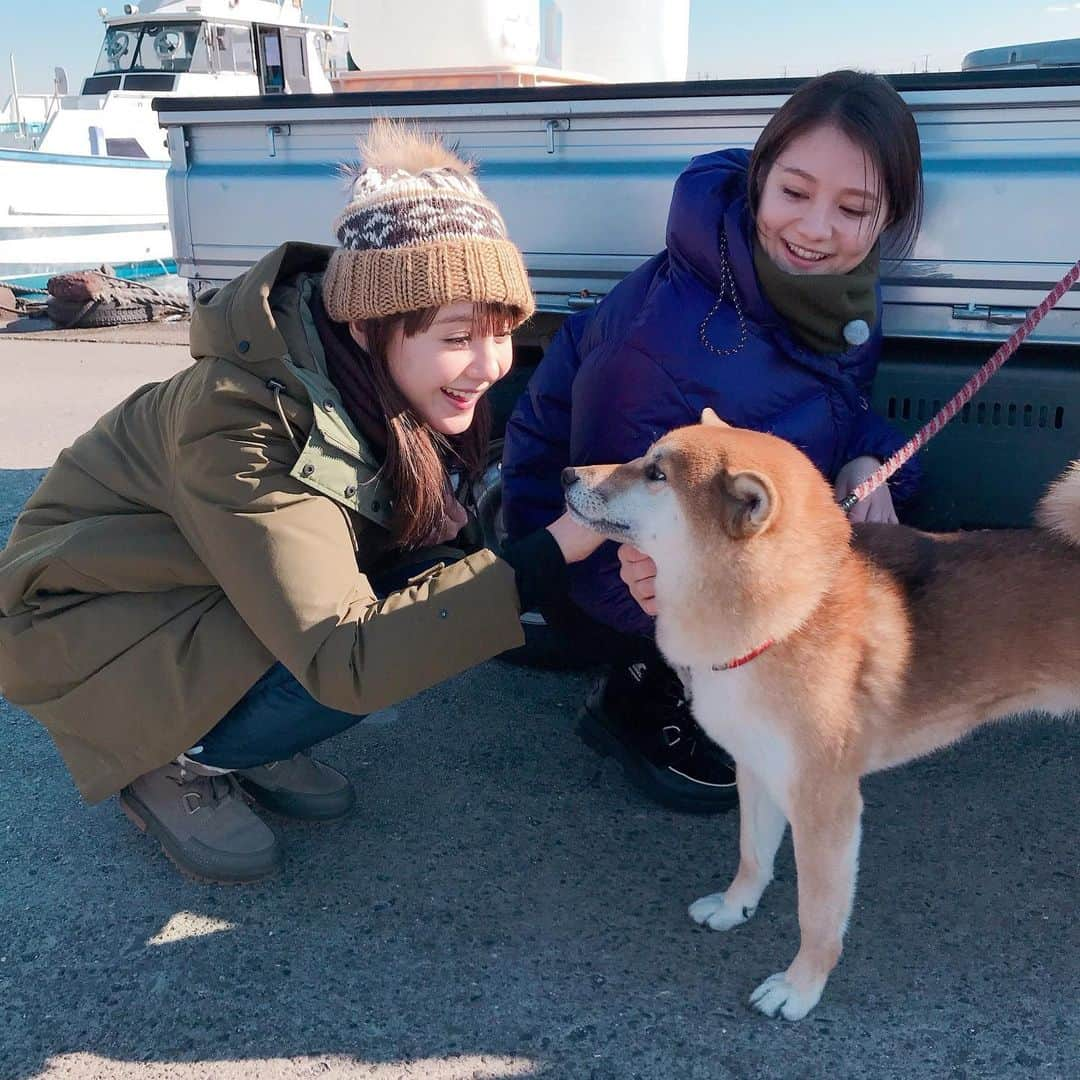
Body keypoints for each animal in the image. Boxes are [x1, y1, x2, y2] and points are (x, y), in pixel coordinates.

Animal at [561, 410, 1075, 1019]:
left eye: (656, 474)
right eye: (644, 457)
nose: (566, 473)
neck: (786, 619)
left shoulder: (825, 805)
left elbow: (818, 915)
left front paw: (800, 987)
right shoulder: (757, 770)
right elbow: (753, 856)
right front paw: (734, 908)